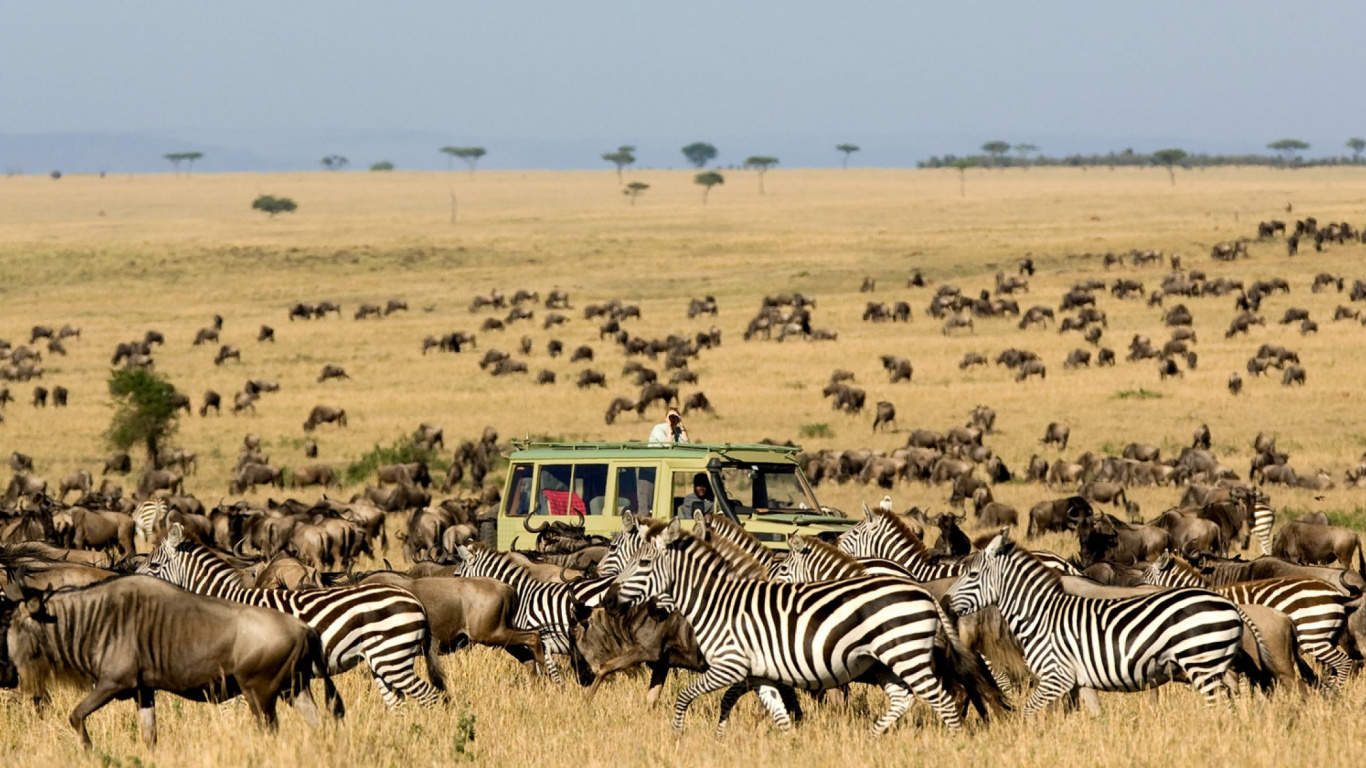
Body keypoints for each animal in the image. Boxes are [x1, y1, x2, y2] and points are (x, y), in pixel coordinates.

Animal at [137, 523, 446, 712]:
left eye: (154, 566)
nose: (132, 584)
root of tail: (414, 600)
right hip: (382, 661)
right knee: (399, 704)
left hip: (392, 657)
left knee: (431, 696)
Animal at [615, 518, 1000, 735]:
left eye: (644, 562)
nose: (612, 597)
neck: (718, 603)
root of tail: (923, 591)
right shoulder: (760, 673)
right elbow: (775, 713)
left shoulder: (730, 666)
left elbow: (685, 697)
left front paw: (678, 736)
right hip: (887, 661)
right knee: (904, 698)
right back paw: (873, 738)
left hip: (906, 654)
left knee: (945, 700)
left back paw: (953, 742)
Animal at [948, 530, 1246, 714]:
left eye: (972, 574)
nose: (946, 601)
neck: (1041, 613)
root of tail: (1230, 605)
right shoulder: (1080, 679)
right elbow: (1093, 715)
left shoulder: (1055, 676)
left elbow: (1029, 711)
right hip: (1213, 665)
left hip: (1202, 664)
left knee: (1220, 705)